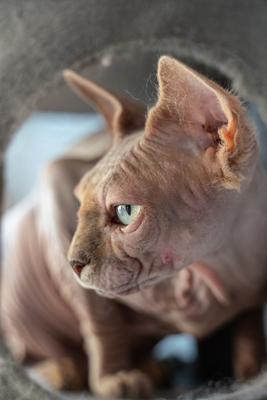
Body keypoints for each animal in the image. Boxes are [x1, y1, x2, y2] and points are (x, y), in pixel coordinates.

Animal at [1, 55, 266, 396]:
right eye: (79, 205)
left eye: (126, 212)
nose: (73, 264)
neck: (215, 266)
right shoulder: (57, 181)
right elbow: (101, 321)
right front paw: (115, 378)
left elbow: (250, 316)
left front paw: (252, 372)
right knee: (27, 350)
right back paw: (61, 370)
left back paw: (152, 367)